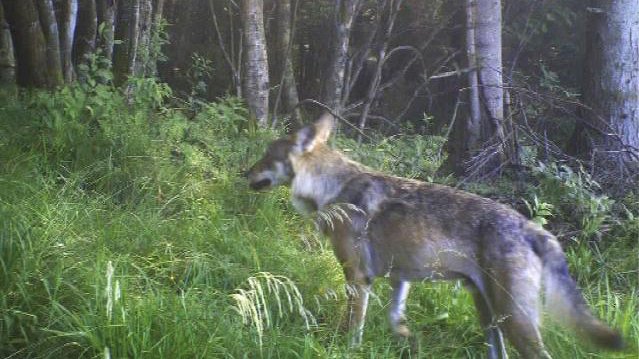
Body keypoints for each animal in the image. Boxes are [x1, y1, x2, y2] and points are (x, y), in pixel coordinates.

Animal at [246, 114, 624, 358]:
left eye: (265, 156)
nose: (243, 172)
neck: (333, 188)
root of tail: (533, 228)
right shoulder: (399, 278)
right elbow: (394, 317)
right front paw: (405, 339)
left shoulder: (357, 277)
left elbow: (353, 328)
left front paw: (346, 350)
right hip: (490, 319)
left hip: (513, 320)